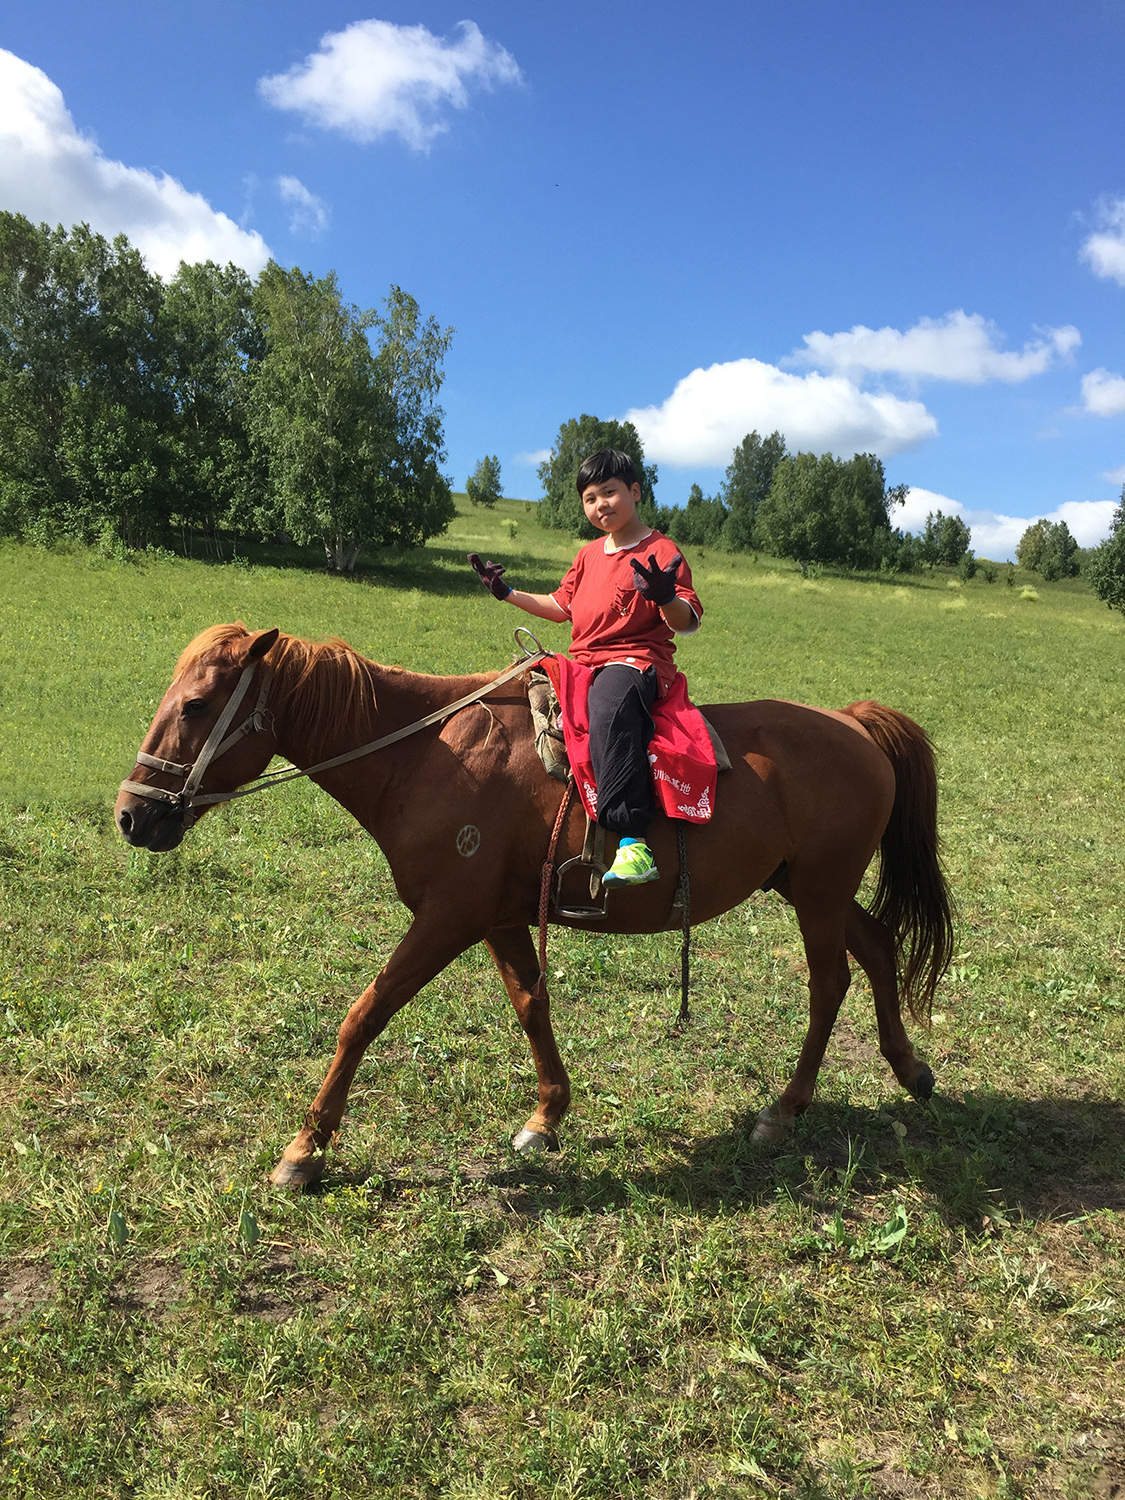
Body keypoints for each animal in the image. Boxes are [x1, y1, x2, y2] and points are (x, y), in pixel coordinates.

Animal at [114, 622, 954, 1190]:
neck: (427, 757)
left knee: (829, 983)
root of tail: (853, 723)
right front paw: (547, 1117)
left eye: (195, 706)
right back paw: (908, 1067)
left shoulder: (447, 917)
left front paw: (305, 1150)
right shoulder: (497, 916)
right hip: (810, 885)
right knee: (876, 946)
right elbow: (531, 1005)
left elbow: (364, 1014)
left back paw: (785, 1108)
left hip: (817, 891)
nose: (131, 815)